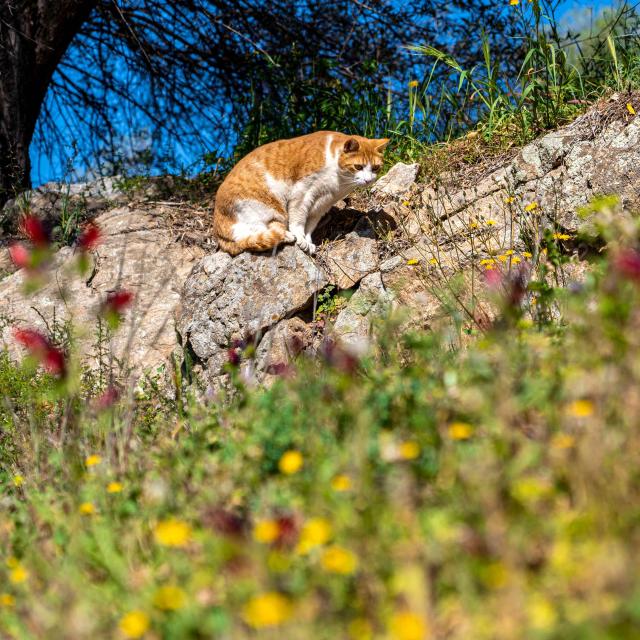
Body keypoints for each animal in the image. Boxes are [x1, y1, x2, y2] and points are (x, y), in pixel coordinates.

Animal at [212, 132, 388, 255]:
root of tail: (219, 232)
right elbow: (298, 220)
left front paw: (308, 241)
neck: (339, 182)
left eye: (375, 168)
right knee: (253, 236)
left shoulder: (322, 204)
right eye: (358, 167)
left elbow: (310, 225)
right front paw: (300, 238)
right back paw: (287, 235)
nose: (368, 180)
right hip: (265, 208)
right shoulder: (302, 193)